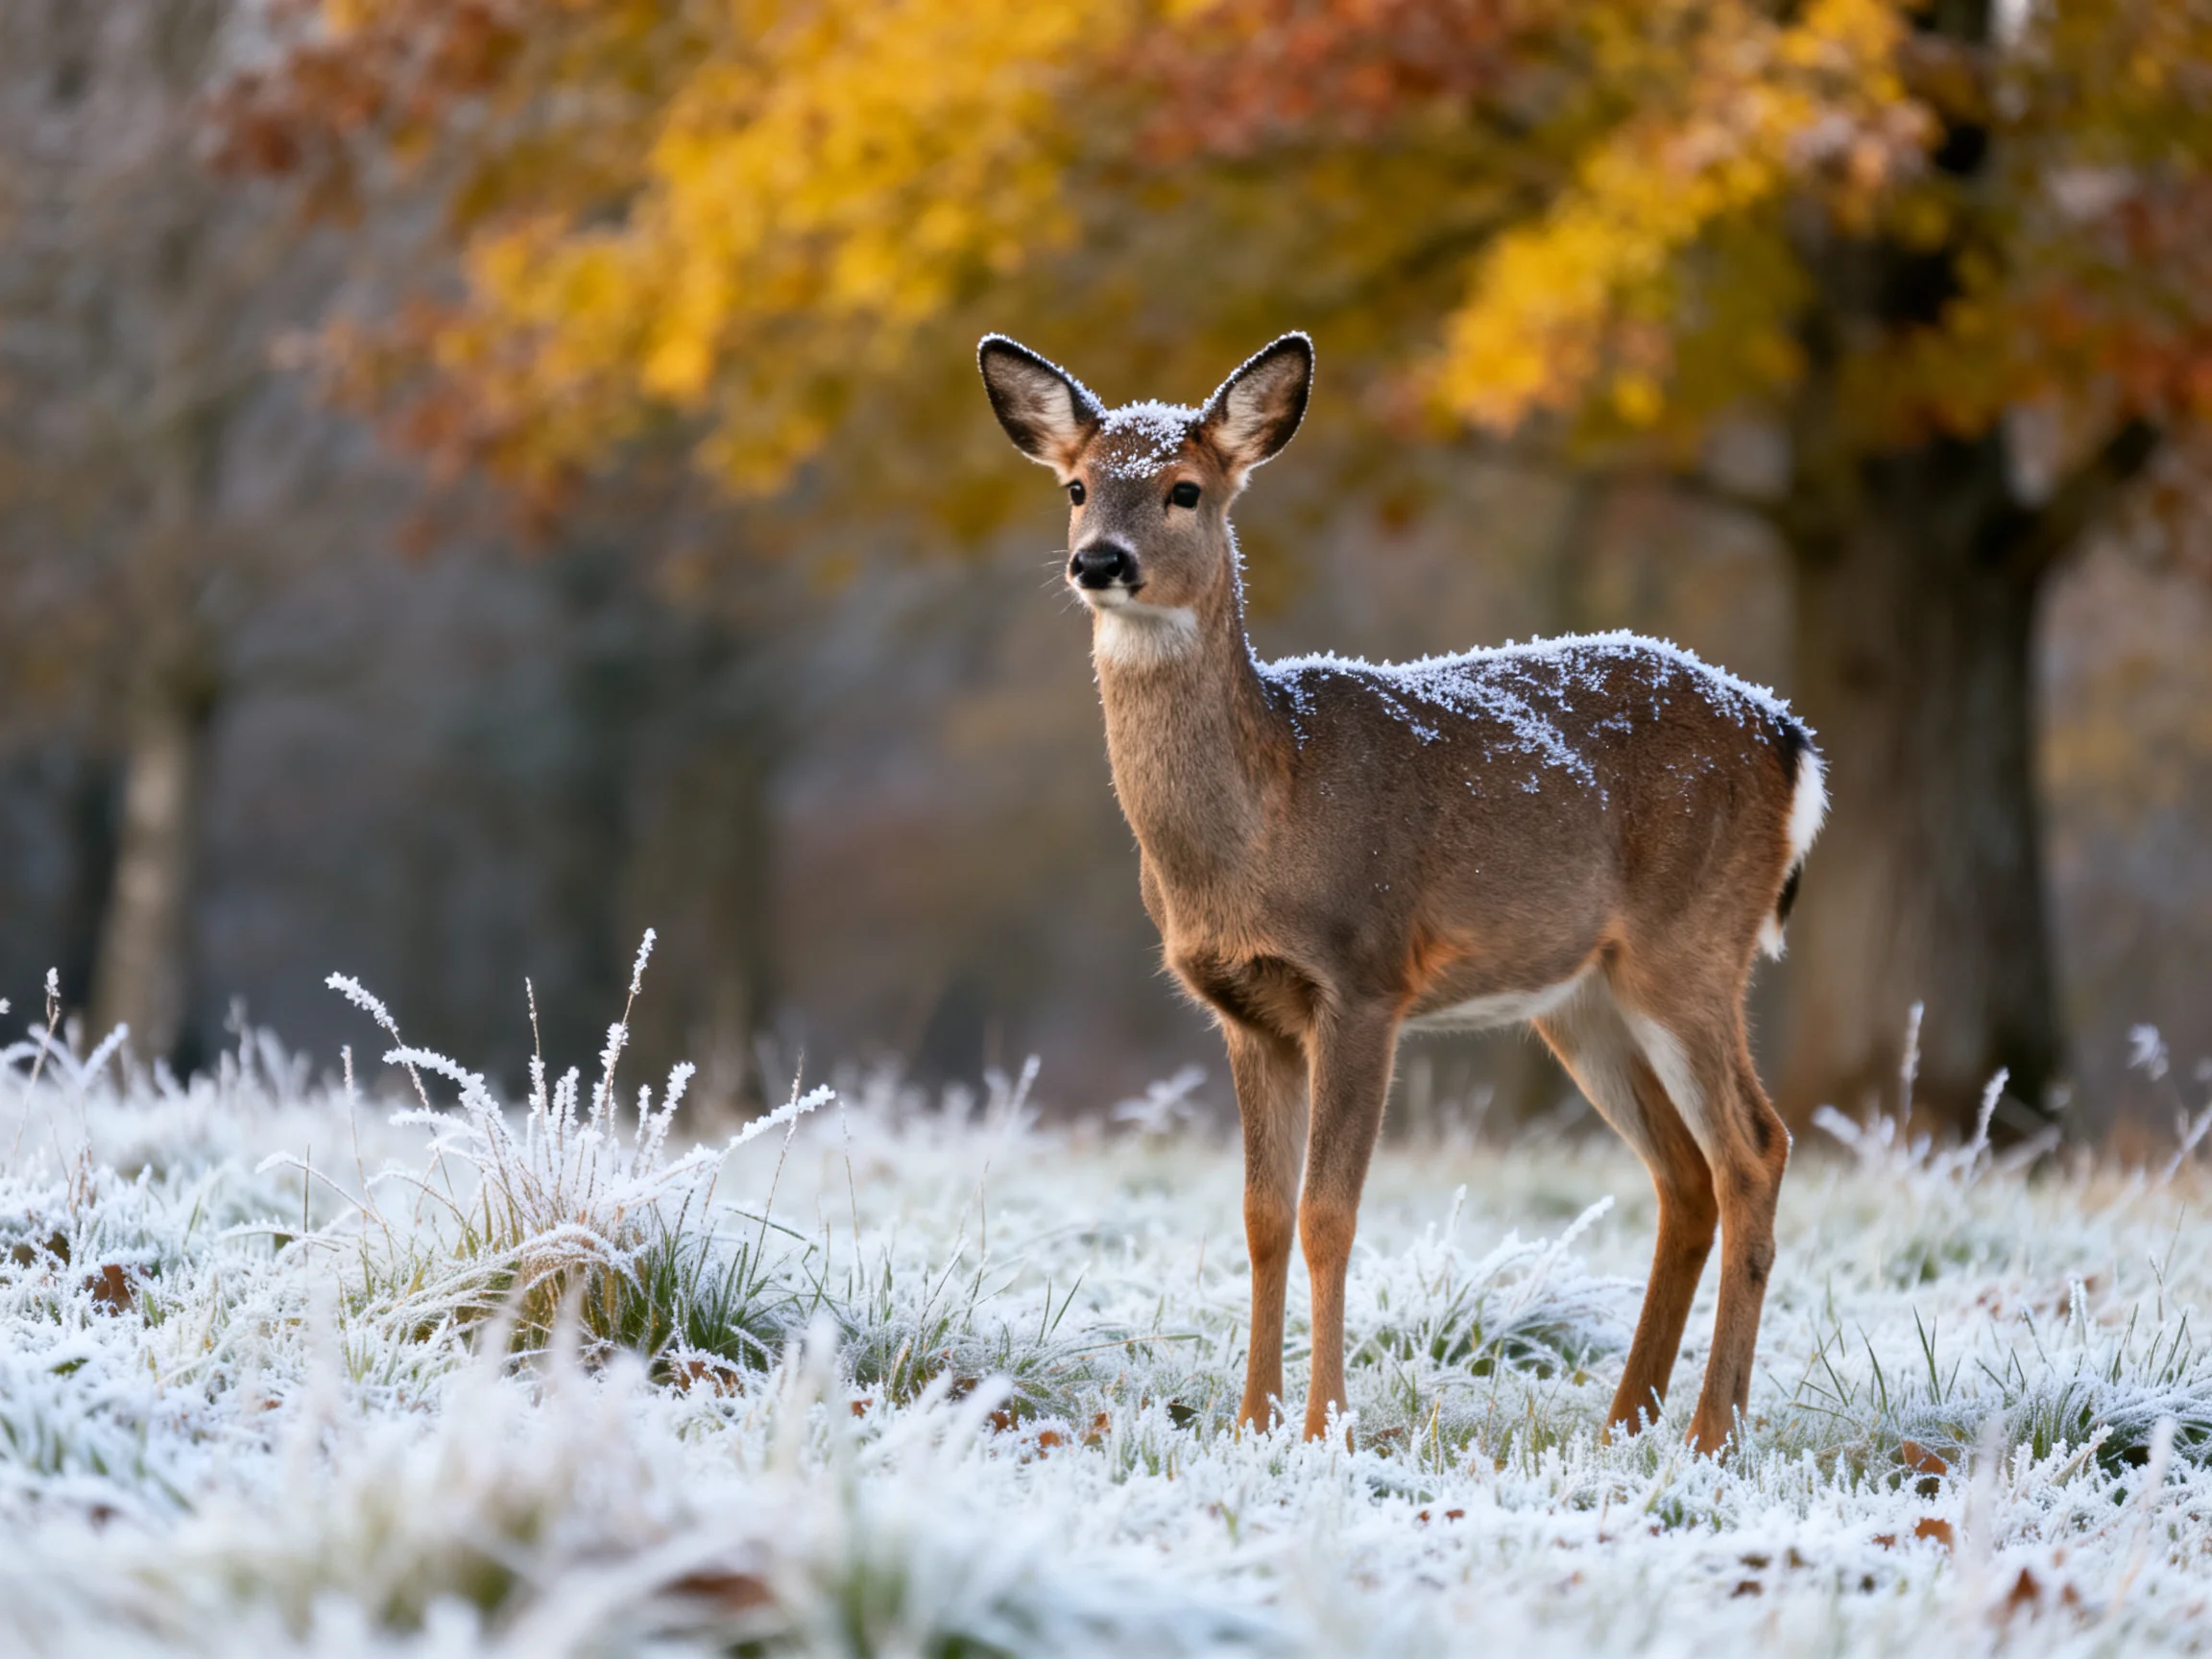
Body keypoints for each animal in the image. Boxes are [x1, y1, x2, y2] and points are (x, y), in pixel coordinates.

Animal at [977, 331, 1826, 1455]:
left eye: (1185, 490)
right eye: (1076, 487)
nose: (1099, 561)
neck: (1263, 826)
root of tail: (1790, 738)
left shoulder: (1365, 976)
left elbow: (1329, 1213)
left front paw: (1322, 1427)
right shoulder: (1245, 1010)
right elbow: (1260, 1216)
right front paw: (1250, 1423)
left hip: (1690, 946)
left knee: (1754, 1150)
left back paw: (1708, 1432)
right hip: (1582, 997)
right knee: (1685, 1175)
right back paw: (1623, 1425)